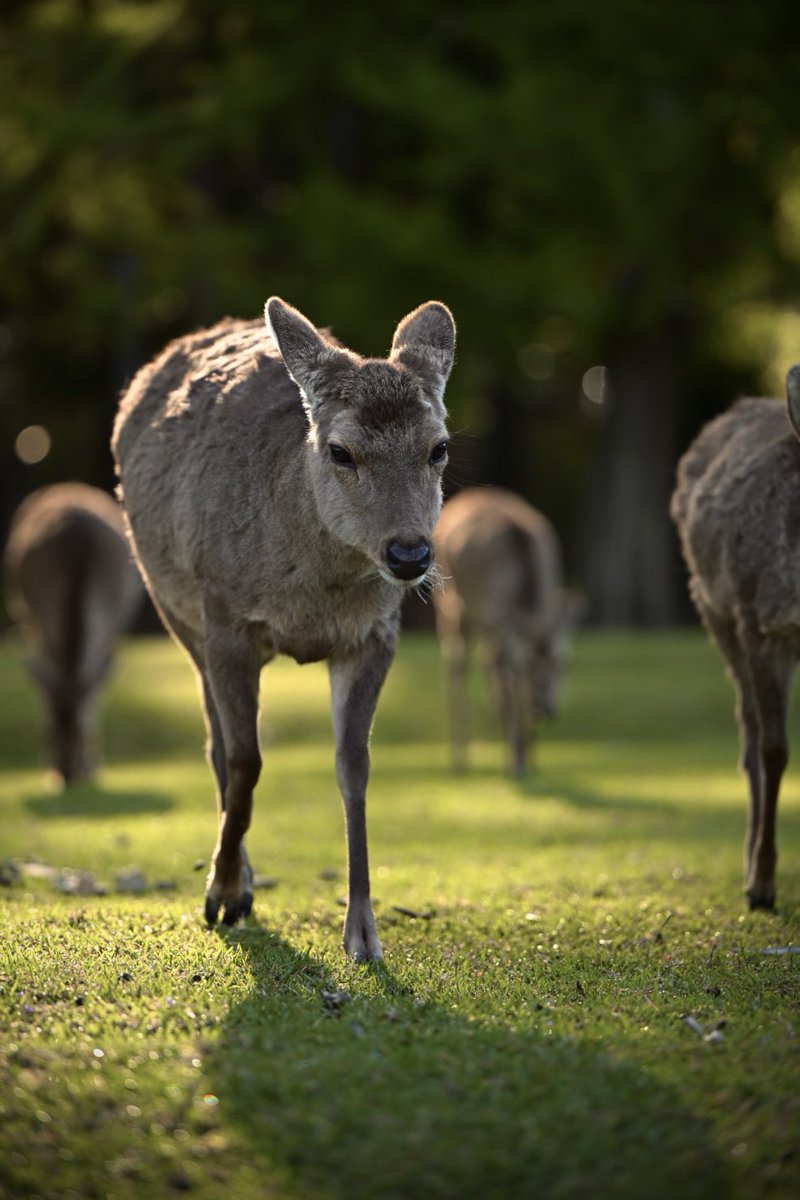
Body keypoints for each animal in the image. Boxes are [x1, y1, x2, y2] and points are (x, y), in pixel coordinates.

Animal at [3, 482, 143, 785]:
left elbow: (95, 689)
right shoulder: (38, 619)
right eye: (45, 730)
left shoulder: (112, 625)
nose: (65, 774)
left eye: (81, 728)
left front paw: (92, 768)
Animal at [112, 297, 456, 960]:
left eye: (439, 448)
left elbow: (355, 764)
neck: (310, 603)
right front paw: (221, 893)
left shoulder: (377, 634)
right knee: (217, 745)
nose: (408, 554)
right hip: (175, 612)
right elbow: (245, 759)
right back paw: (237, 883)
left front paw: (363, 931)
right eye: (341, 451)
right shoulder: (226, 618)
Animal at [433, 486, 574, 777]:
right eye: (529, 663)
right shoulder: (498, 616)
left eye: (564, 662)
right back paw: (459, 756)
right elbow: (507, 679)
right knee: (456, 661)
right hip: (450, 604)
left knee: (485, 662)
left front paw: (528, 755)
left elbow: (502, 677)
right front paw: (517, 758)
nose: (545, 710)